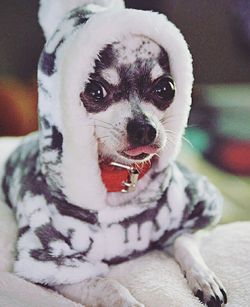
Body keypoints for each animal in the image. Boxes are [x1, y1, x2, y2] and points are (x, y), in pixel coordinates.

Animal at [0, 1, 227, 306]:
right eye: (95, 91)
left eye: (166, 88)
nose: (144, 129)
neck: (119, 180)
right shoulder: (54, 262)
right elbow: (107, 284)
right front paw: (129, 301)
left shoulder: (188, 217)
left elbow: (185, 243)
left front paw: (204, 278)